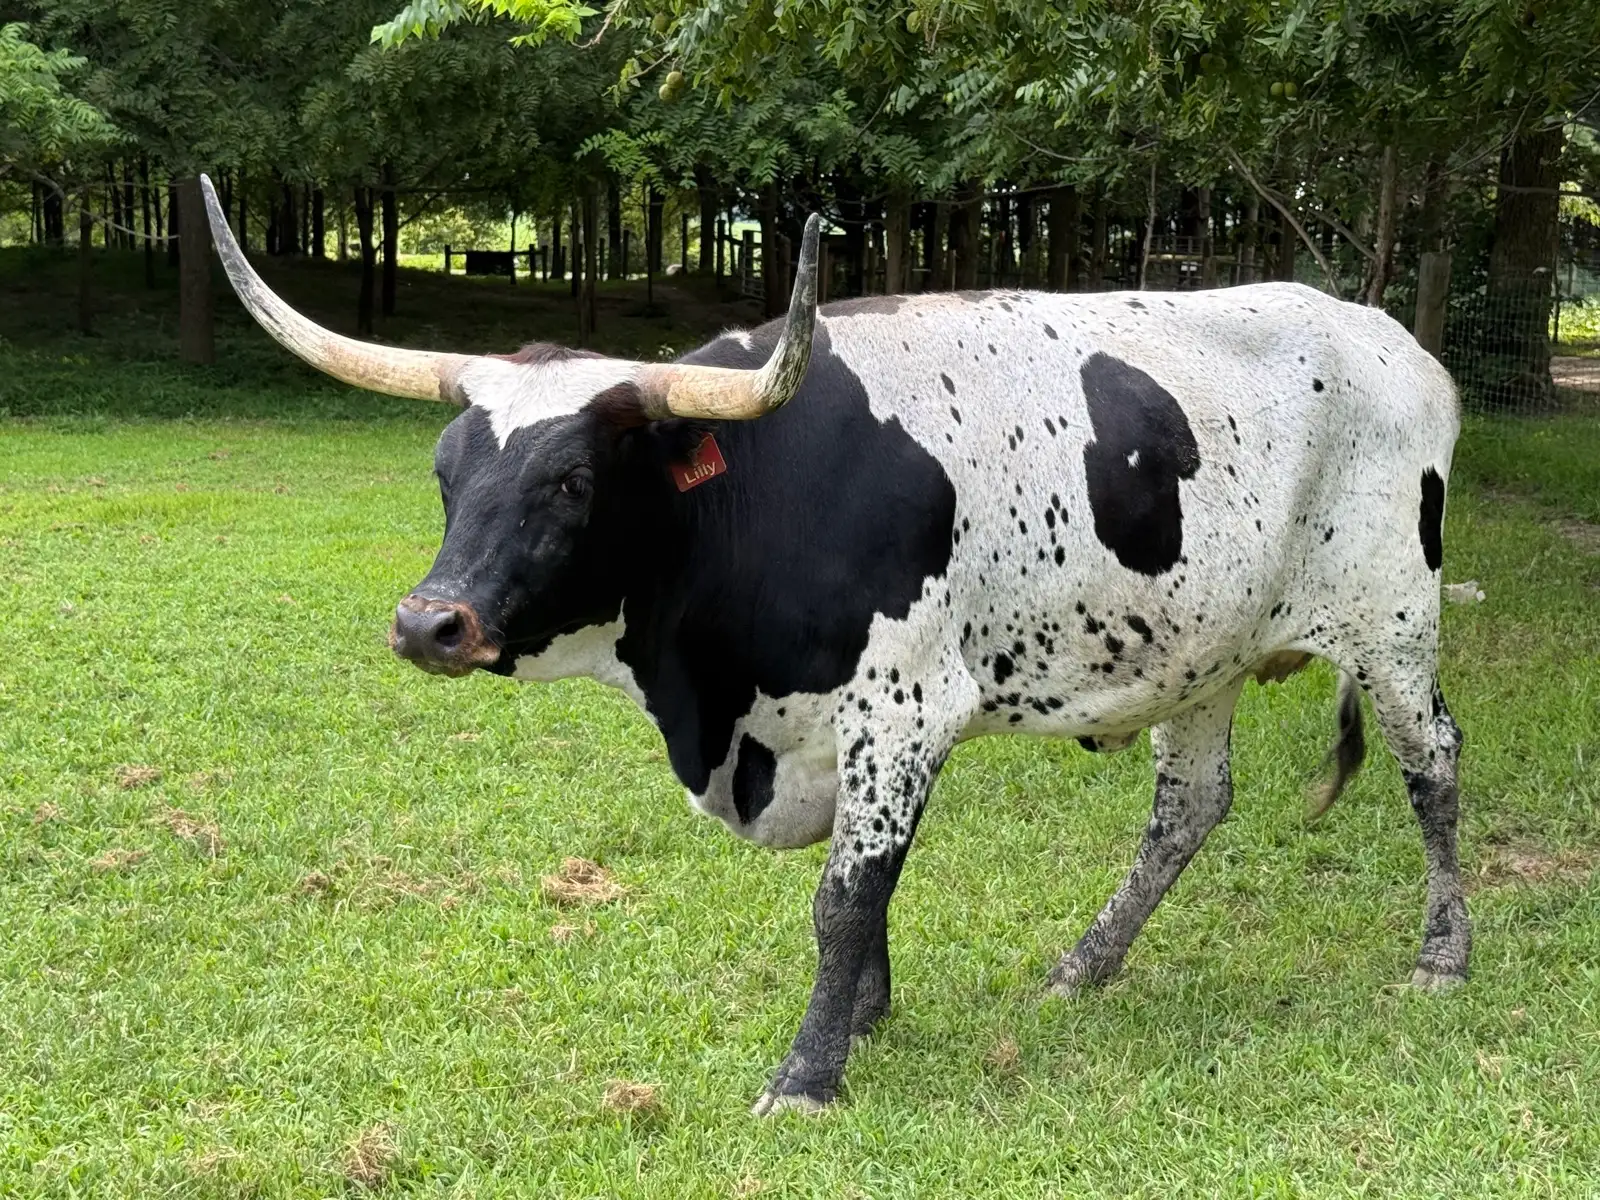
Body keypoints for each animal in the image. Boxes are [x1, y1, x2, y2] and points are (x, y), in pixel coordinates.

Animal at [199, 176, 1468, 1115]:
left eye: (570, 482)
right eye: (445, 474)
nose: (431, 623)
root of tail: (1395, 344)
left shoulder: (901, 711)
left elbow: (845, 897)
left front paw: (811, 1074)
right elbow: (872, 880)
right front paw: (863, 1015)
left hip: (1392, 625)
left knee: (1432, 767)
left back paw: (1441, 957)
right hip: (1203, 647)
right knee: (1190, 807)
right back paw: (1085, 965)